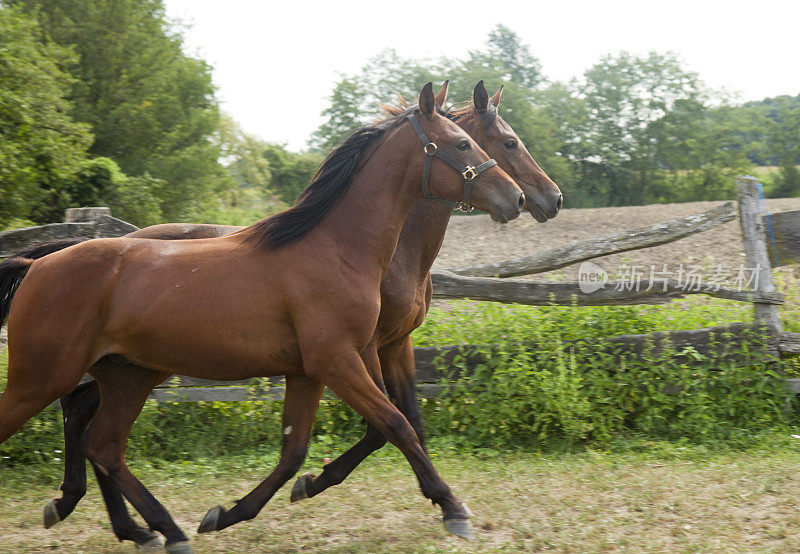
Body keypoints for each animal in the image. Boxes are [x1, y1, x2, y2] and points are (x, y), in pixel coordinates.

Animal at [7, 78, 564, 548]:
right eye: (489, 144)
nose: (535, 198)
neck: (344, 248)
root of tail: (38, 264)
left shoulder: (347, 358)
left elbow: (315, 444)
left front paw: (233, 511)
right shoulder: (345, 357)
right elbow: (393, 424)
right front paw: (450, 507)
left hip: (130, 373)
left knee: (97, 437)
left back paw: (140, 526)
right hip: (57, 377)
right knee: (86, 429)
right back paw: (127, 521)